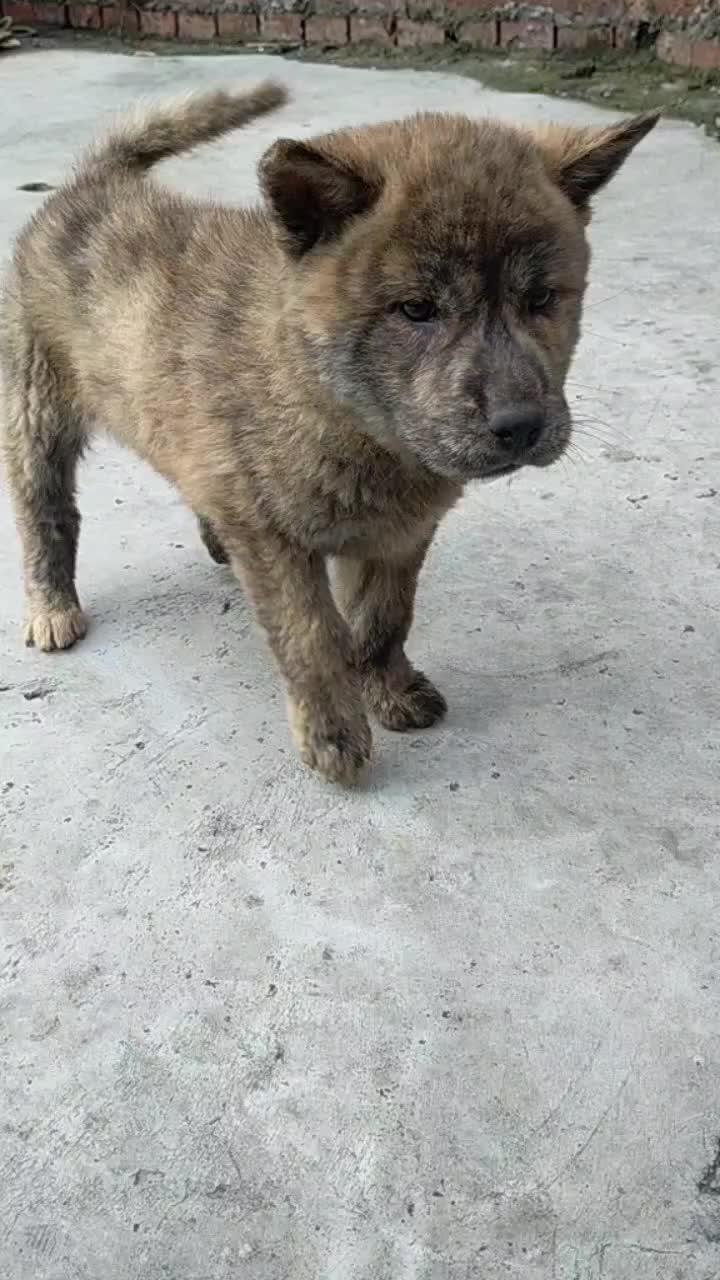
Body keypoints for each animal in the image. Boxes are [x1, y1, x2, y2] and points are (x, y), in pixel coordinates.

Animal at [1, 85, 655, 778]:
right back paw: (52, 606)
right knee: (46, 511)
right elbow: (311, 636)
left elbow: (384, 620)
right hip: (35, 405)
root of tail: (95, 183)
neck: (341, 414)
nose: (521, 425)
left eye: (542, 299)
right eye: (416, 309)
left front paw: (389, 691)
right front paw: (333, 733)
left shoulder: (400, 535)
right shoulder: (274, 540)